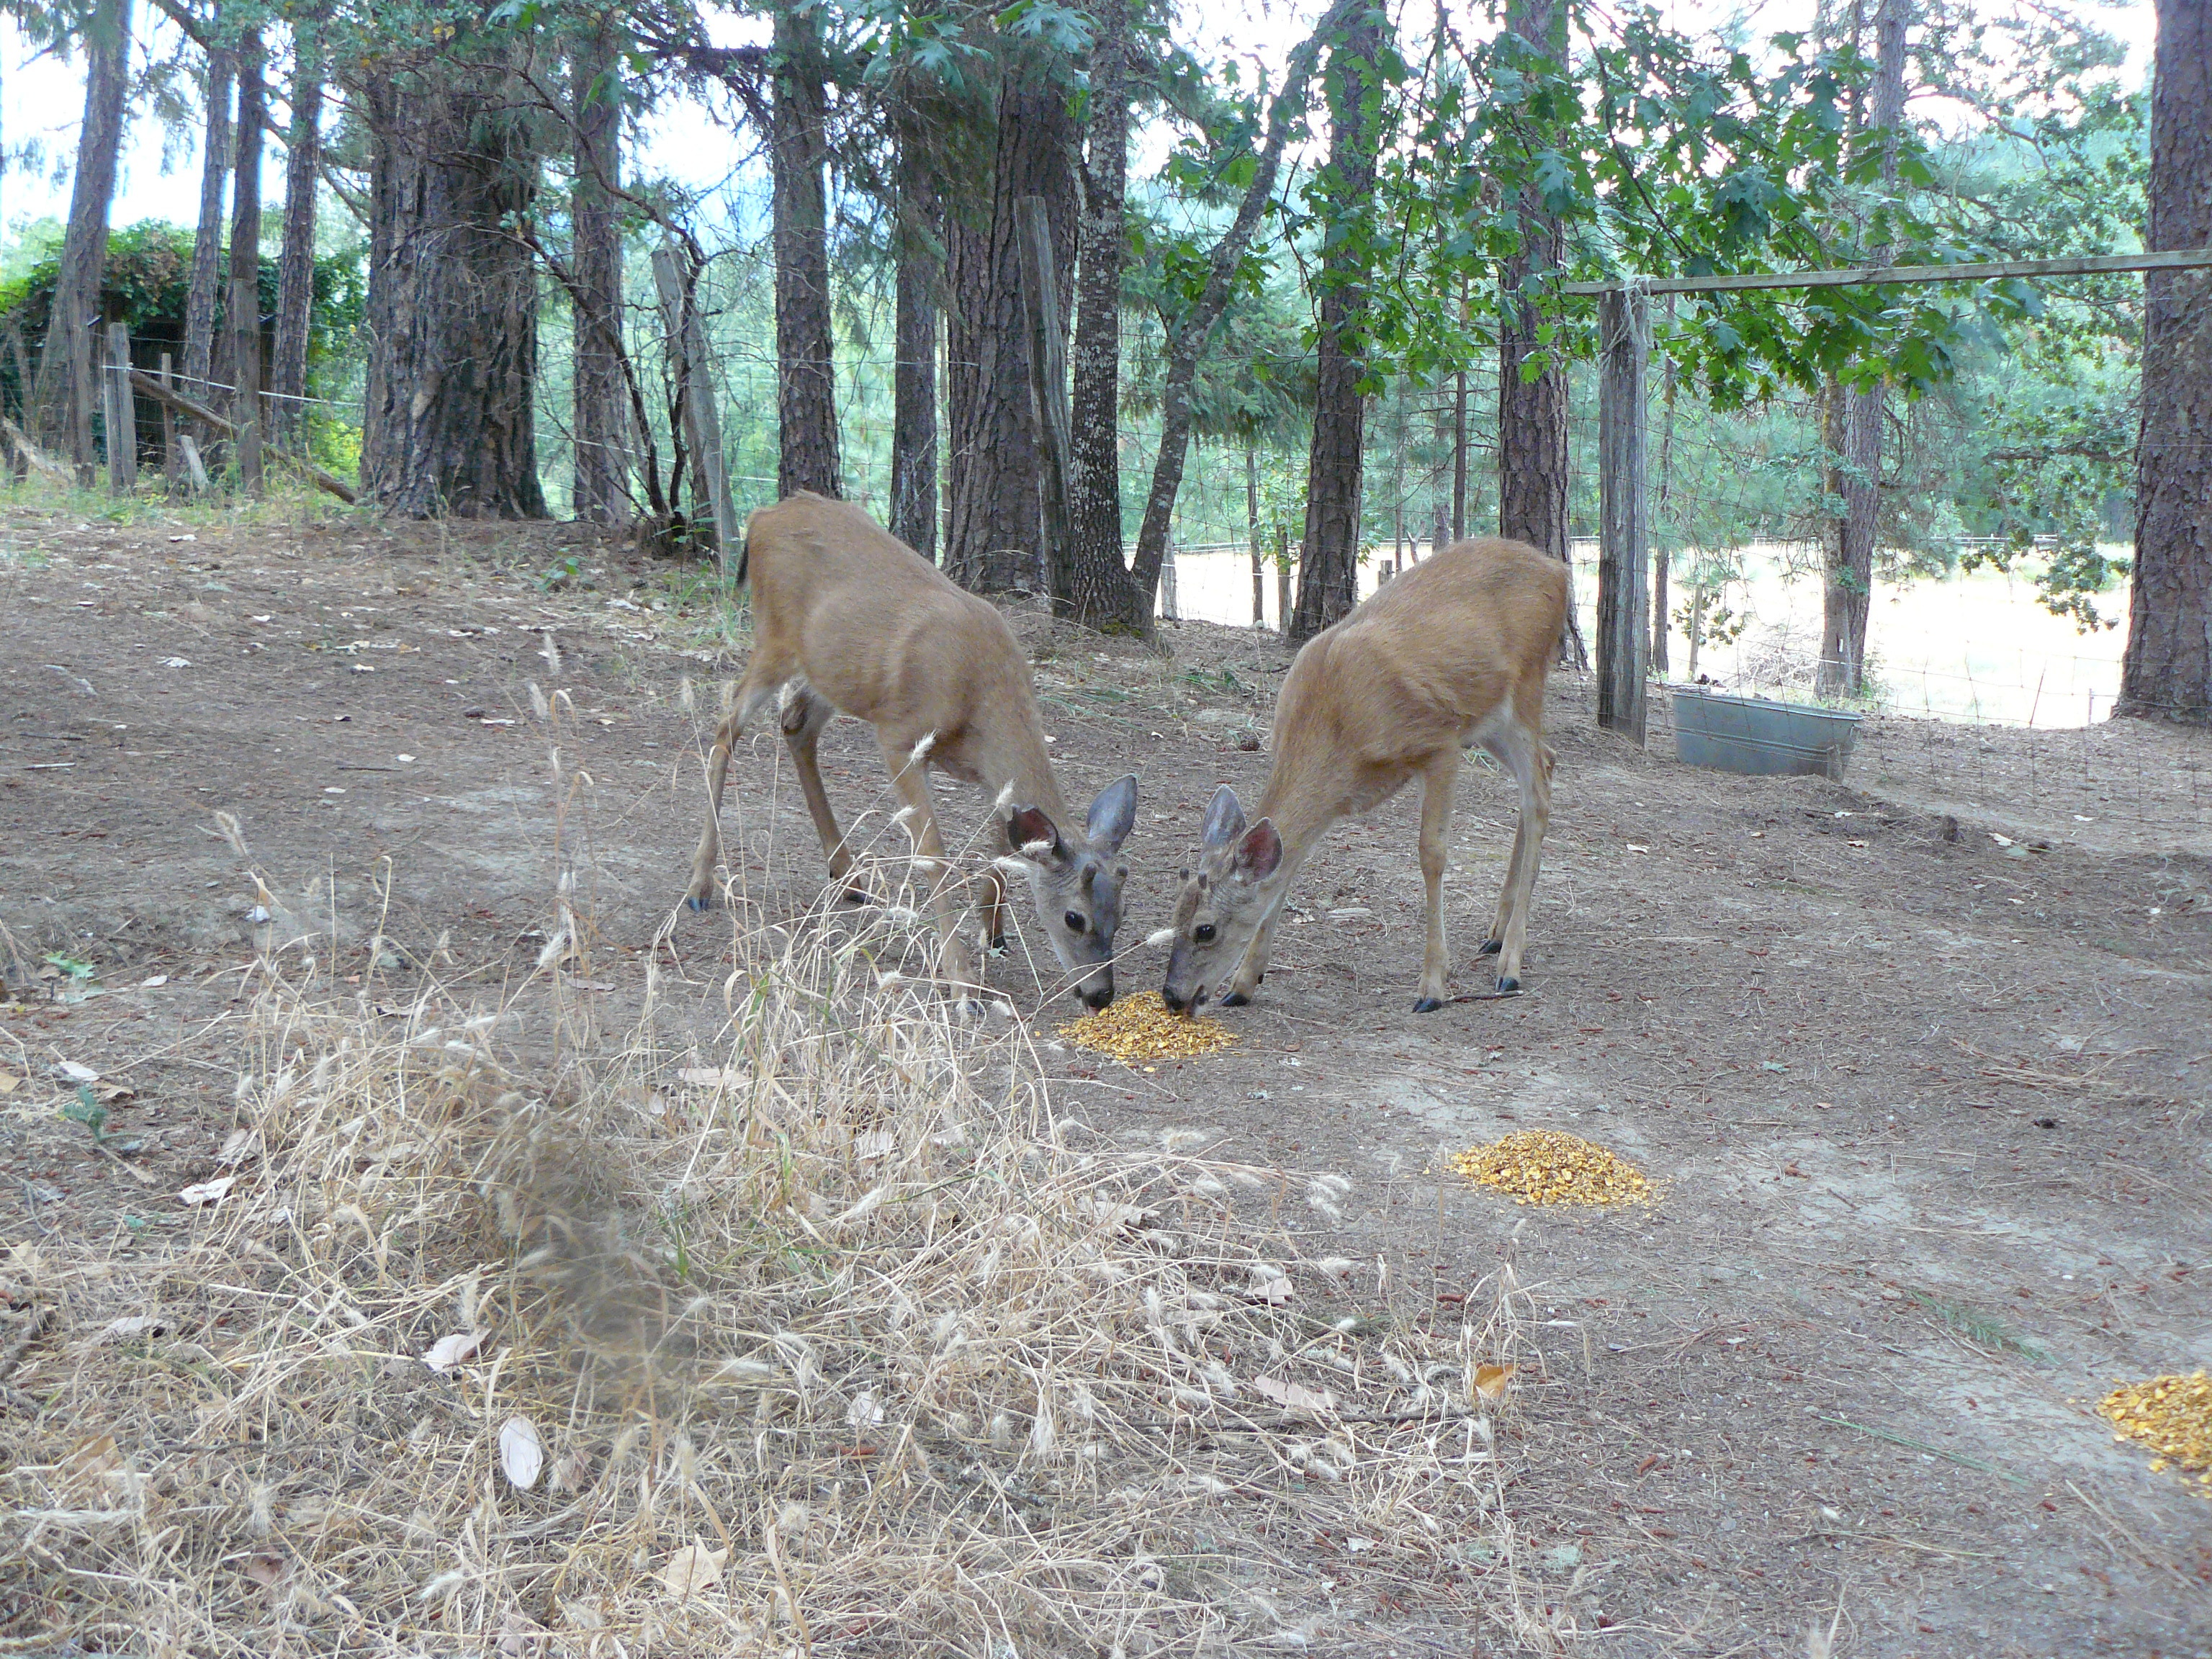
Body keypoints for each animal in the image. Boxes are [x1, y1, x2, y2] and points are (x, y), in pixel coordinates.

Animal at [685, 492, 1139, 1010]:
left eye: (1121, 915)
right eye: (1074, 918)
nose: (1100, 994)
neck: (980, 697)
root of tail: (764, 516)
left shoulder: (989, 774)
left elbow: (1002, 849)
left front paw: (994, 934)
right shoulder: (899, 736)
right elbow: (933, 854)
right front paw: (962, 981)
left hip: (834, 674)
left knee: (795, 728)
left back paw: (848, 876)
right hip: (774, 640)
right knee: (726, 725)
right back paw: (700, 884)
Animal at [1160, 535, 1567, 1016]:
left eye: (1206, 929)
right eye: (1175, 915)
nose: (1172, 996)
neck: (1336, 729)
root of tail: (1558, 571)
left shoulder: (1439, 742)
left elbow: (1432, 854)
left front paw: (1432, 986)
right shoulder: (1336, 800)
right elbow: (1289, 867)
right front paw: (1244, 983)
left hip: (1525, 687)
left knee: (1538, 792)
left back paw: (1510, 965)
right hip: (1489, 721)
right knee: (1545, 765)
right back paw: (1496, 934)